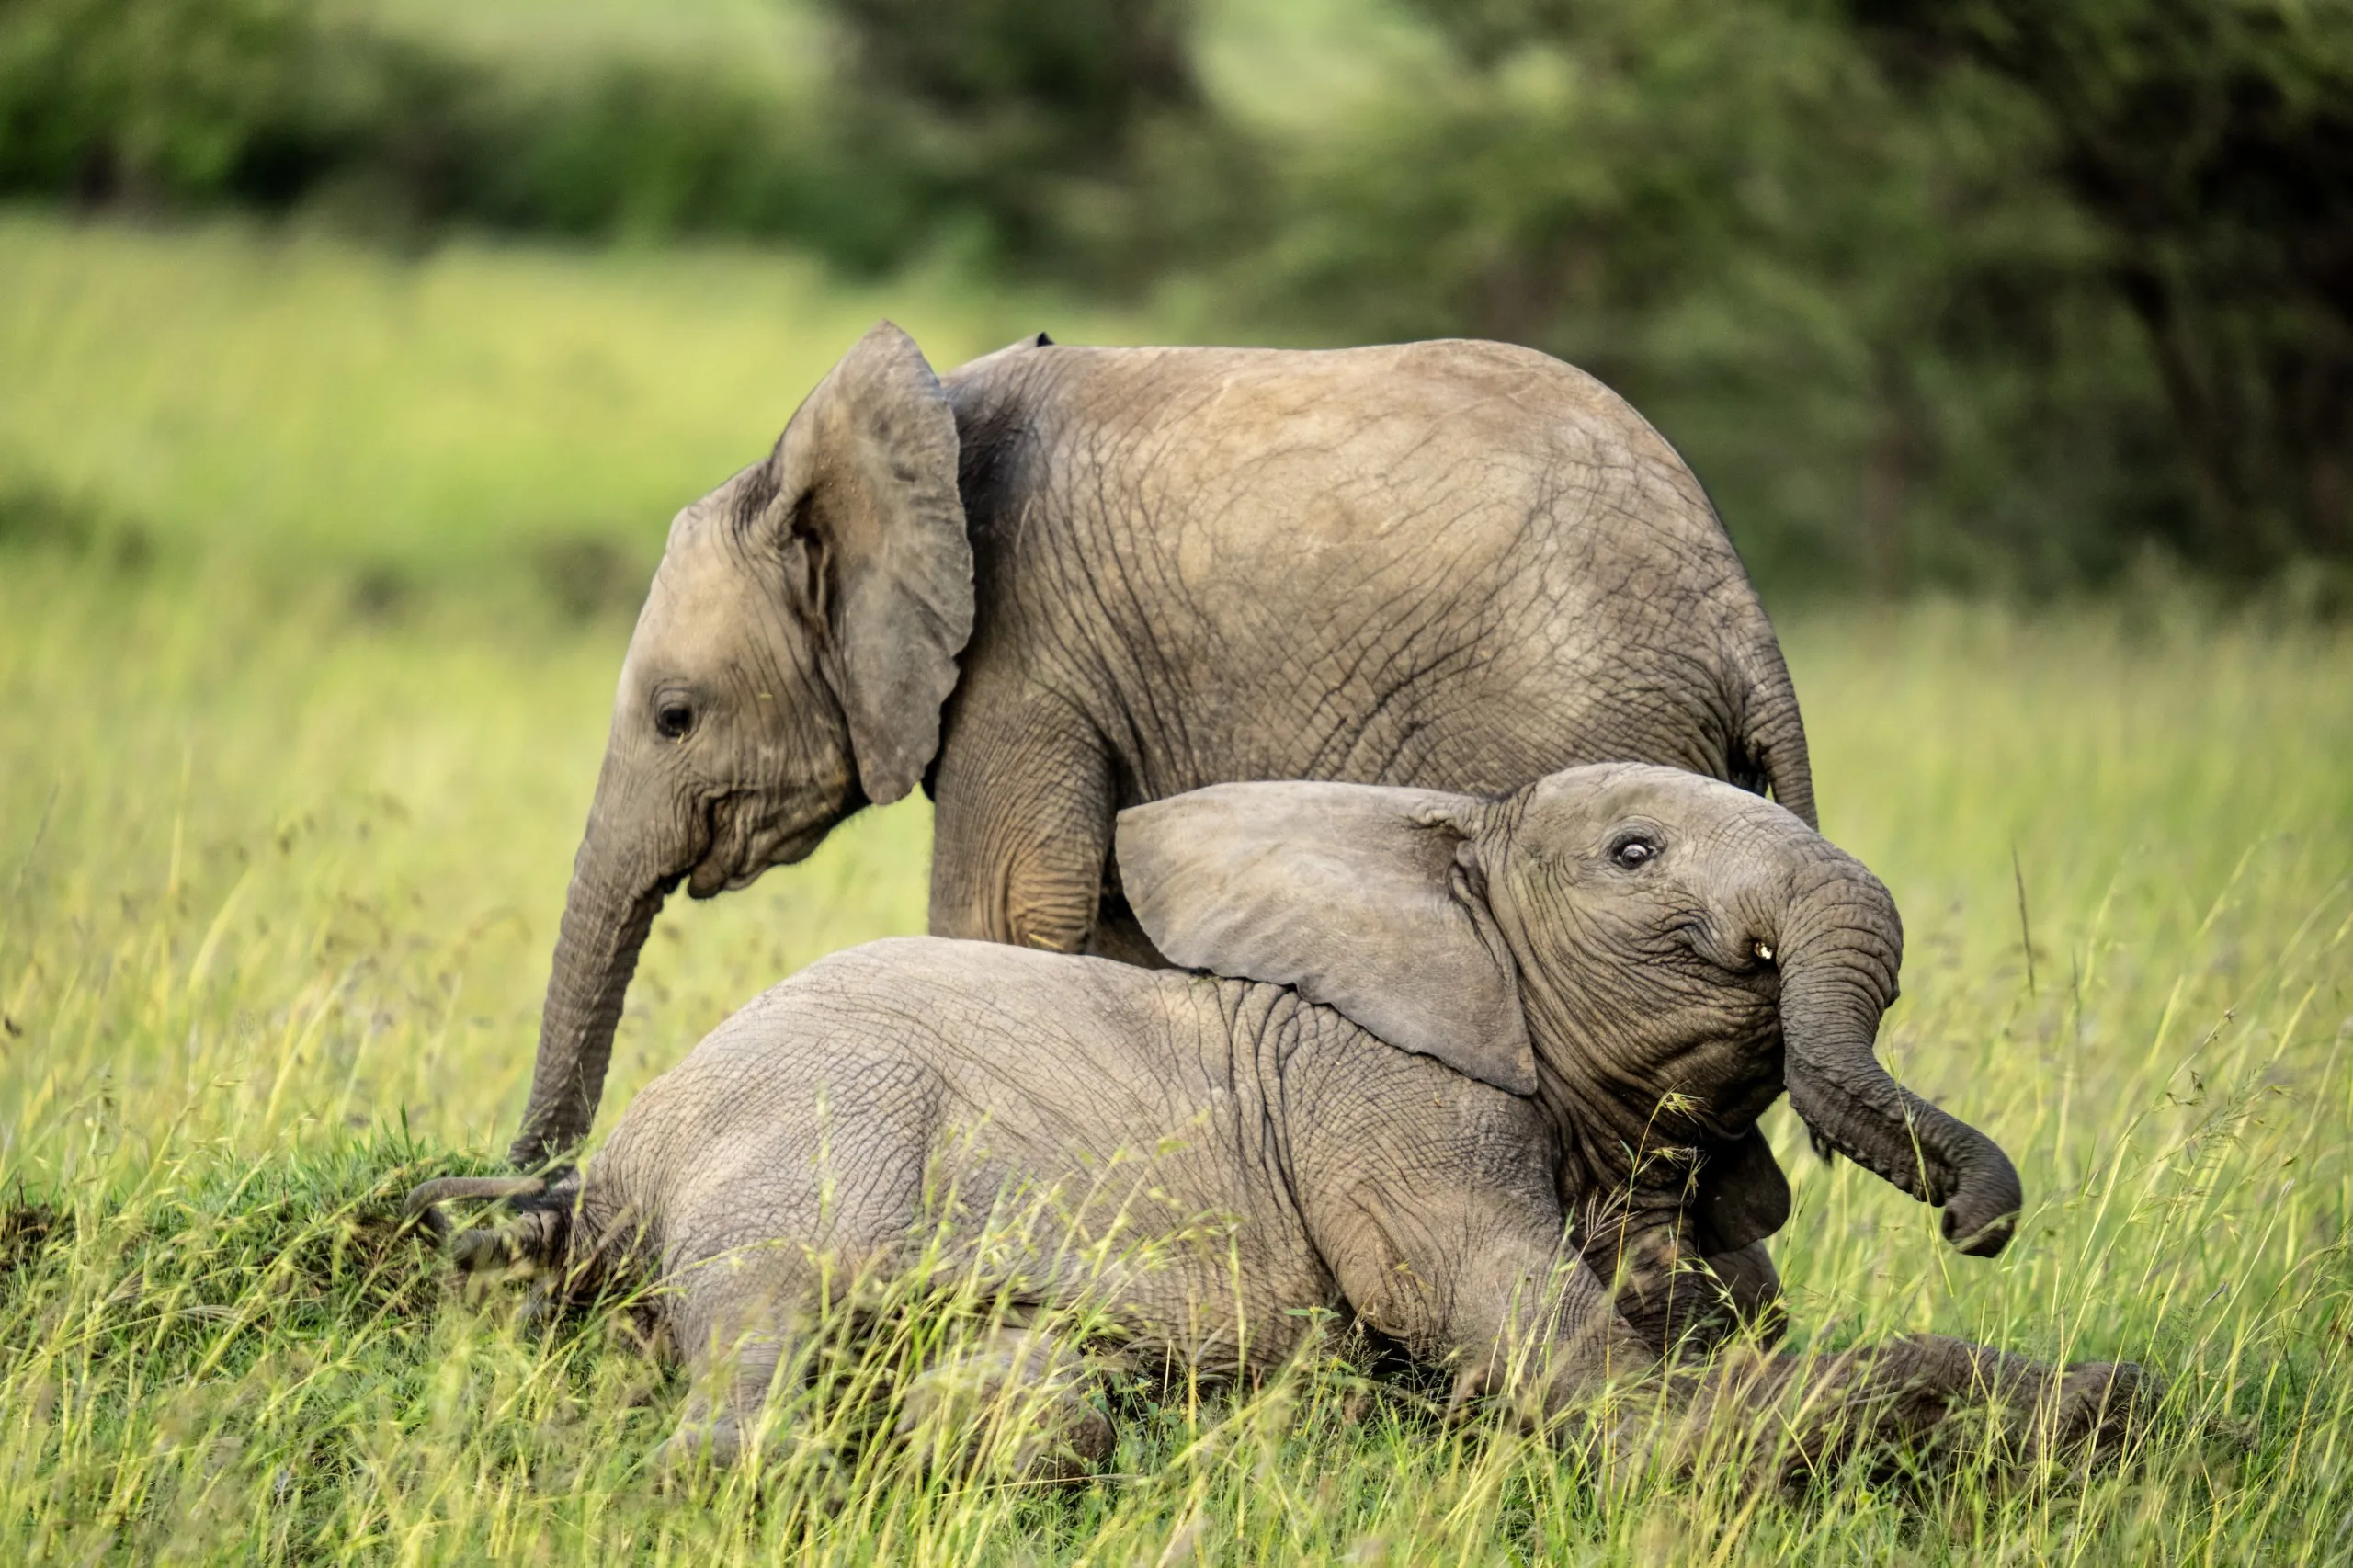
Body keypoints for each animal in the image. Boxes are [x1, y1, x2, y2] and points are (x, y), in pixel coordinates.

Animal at [423, 762, 2136, 1469]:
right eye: (1638, 853)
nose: (1981, 1218)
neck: (1443, 850)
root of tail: (608, 1163)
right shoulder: (1392, 1100)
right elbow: (1603, 1400)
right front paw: (2021, 1398)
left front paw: (2091, 1407)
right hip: (801, 1120)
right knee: (767, 1297)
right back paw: (739, 1468)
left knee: (1026, 1390)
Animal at [510, 322, 1816, 1167]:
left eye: (674, 715)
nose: (527, 1181)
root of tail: (1746, 617)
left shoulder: (1027, 655)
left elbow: (1001, 909)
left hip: (1576, 717)